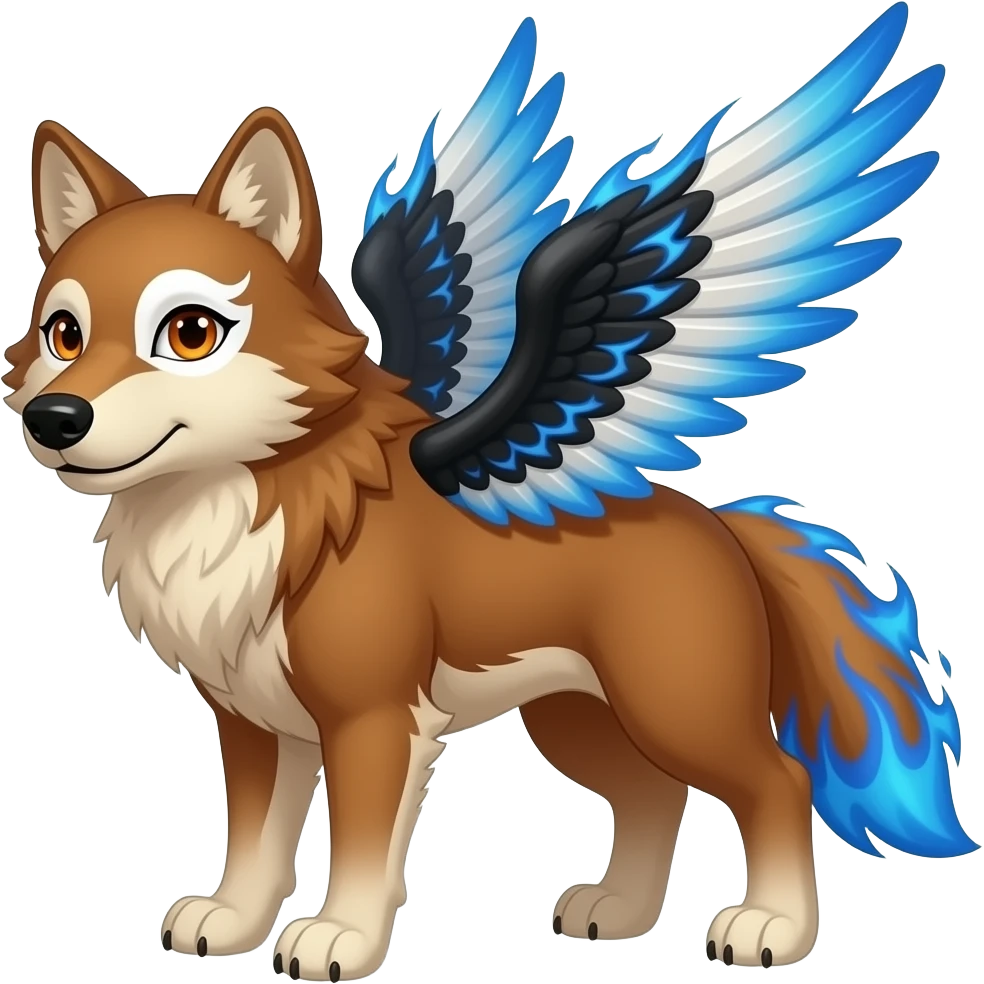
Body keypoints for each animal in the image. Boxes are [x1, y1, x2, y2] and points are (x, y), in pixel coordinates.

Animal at [5, 4, 973, 980]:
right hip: (578, 720)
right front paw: (235, 922)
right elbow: (255, 839)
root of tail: (721, 529)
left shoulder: (372, 719)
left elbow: (361, 844)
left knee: (776, 780)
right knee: (653, 795)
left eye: (191, 332)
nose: (55, 417)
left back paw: (772, 925)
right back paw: (620, 910)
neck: (259, 506)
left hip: (676, 706)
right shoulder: (254, 721)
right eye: (62, 333)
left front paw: (341, 938)